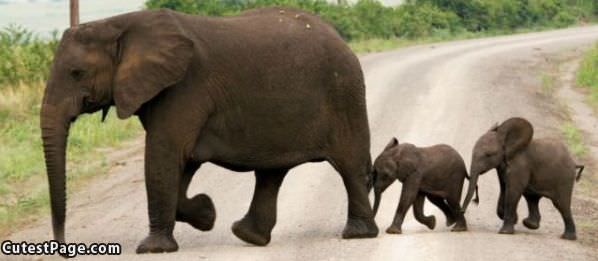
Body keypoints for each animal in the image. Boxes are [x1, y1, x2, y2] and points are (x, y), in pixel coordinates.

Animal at [41, 7, 380, 252]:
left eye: (77, 72)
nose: (62, 246)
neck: (120, 23)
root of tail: (340, 37)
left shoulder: (184, 88)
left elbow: (164, 155)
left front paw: (153, 249)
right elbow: (180, 163)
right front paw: (206, 214)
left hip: (345, 93)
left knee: (349, 166)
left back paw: (357, 235)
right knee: (271, 173)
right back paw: (248, 236)